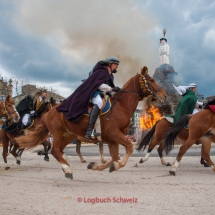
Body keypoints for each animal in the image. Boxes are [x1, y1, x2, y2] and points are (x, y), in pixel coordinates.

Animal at [15, 66, 167, 180]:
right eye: (152, 80)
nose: (164, 95)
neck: (120, 106)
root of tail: (49, 112)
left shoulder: (112, 139)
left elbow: (114, 157)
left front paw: (98, 166)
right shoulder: (114, 134)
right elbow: (128, 148)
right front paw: (114, 165)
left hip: (68, 135)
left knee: (60, 150)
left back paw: (66, 163)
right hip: (57, 133)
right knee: (55, 150)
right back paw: (67, 169)